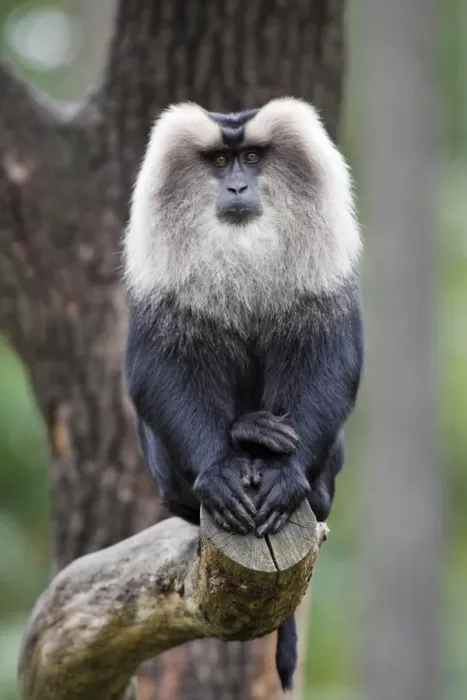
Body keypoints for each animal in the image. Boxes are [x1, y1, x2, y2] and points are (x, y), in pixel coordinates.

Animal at [122, 97, 364, 692]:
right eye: (218, 161)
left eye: (252, 158)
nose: (235, 186)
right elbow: (156, 370)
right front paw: (219, 472)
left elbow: (330, 359)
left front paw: (284, 476)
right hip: (169, 485)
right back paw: (246, 435)